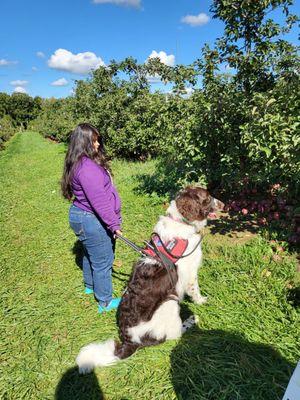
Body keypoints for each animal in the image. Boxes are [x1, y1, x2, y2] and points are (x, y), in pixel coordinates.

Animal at [76, 186, 224, 374]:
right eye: (207, 197)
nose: (223, 204)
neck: (180, 221)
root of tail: (129, 340)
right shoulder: (190, 272)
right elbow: (195, 290)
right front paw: (202, 302)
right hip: (170, 302)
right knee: (174, 335)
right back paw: (191, 321)